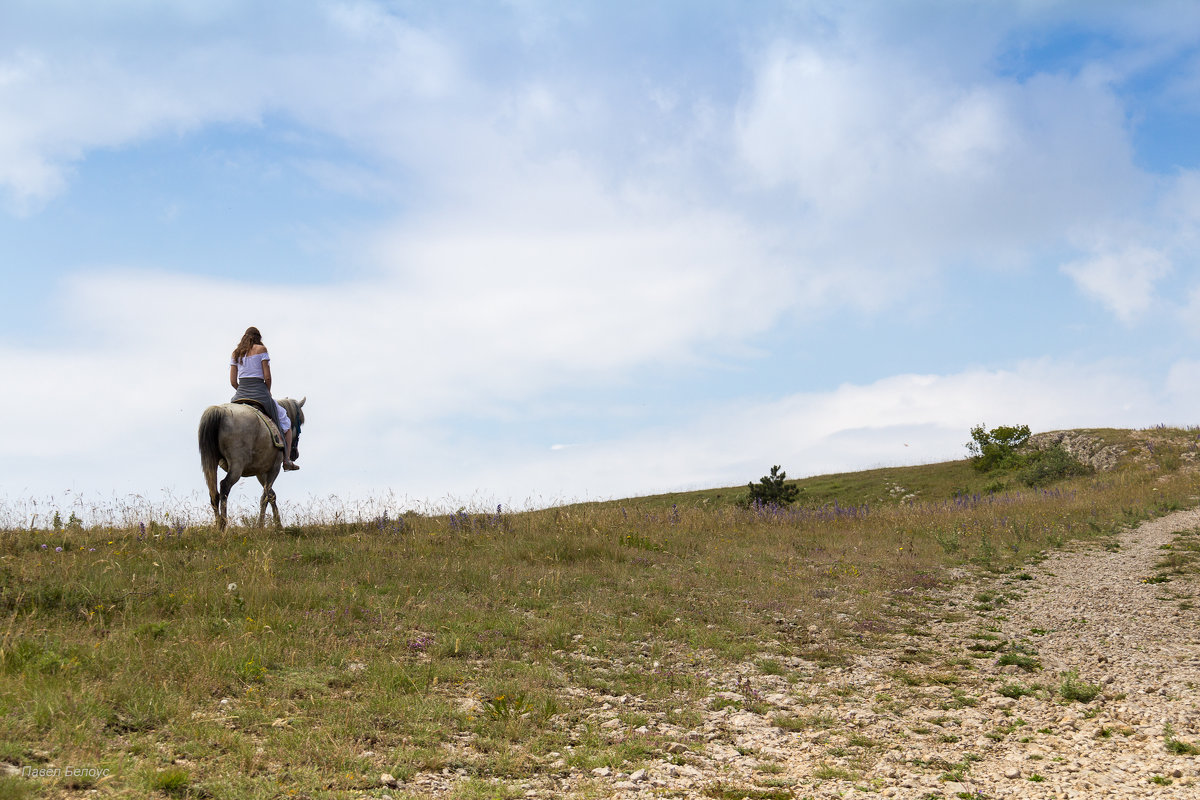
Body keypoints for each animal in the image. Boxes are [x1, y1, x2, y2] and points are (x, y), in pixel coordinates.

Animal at [199, 395, 307, 532]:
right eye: (300, 421)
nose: (294, 454)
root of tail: (220, 411)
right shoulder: (274, 468)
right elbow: (265, 496)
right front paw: (260, 526)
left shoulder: (260, 472)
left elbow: (271, 495)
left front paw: (278, 525)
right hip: (237, 465)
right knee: (224, 486)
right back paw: (223, 525)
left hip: (212, 461)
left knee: (214, 493)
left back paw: (218, 526)